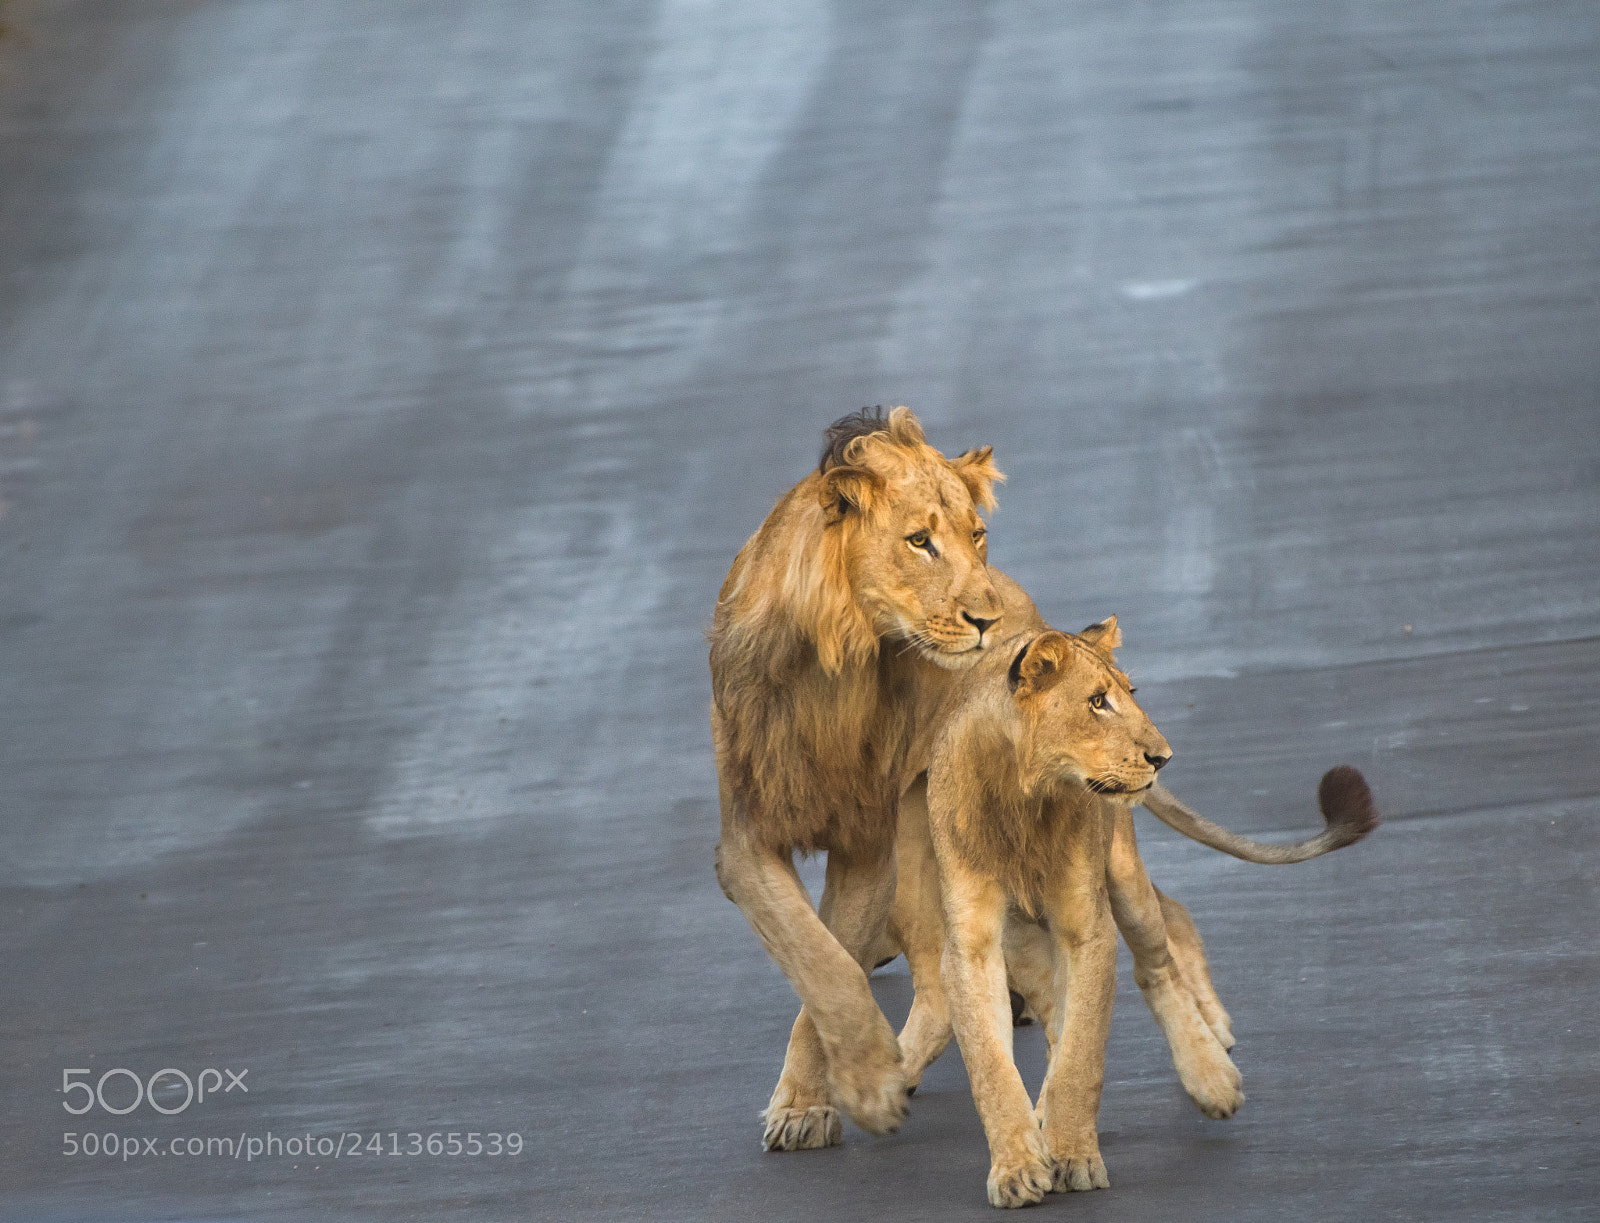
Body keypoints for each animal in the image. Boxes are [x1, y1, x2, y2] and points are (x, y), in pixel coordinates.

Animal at [913, 618, 1377, 1207]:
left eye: (1130, 693)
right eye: (1096, 702)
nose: (1163, 757)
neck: (1022, 801)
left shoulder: (1087, 928)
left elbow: (1083, 1052)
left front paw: (1073, 1156)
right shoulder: (971, 944)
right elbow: (992, 1064)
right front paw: (1018, 1168)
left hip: (1126, 885)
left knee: (1159, 959)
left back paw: (1212, 1077)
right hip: (1023, 939)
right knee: (1053, 1015)